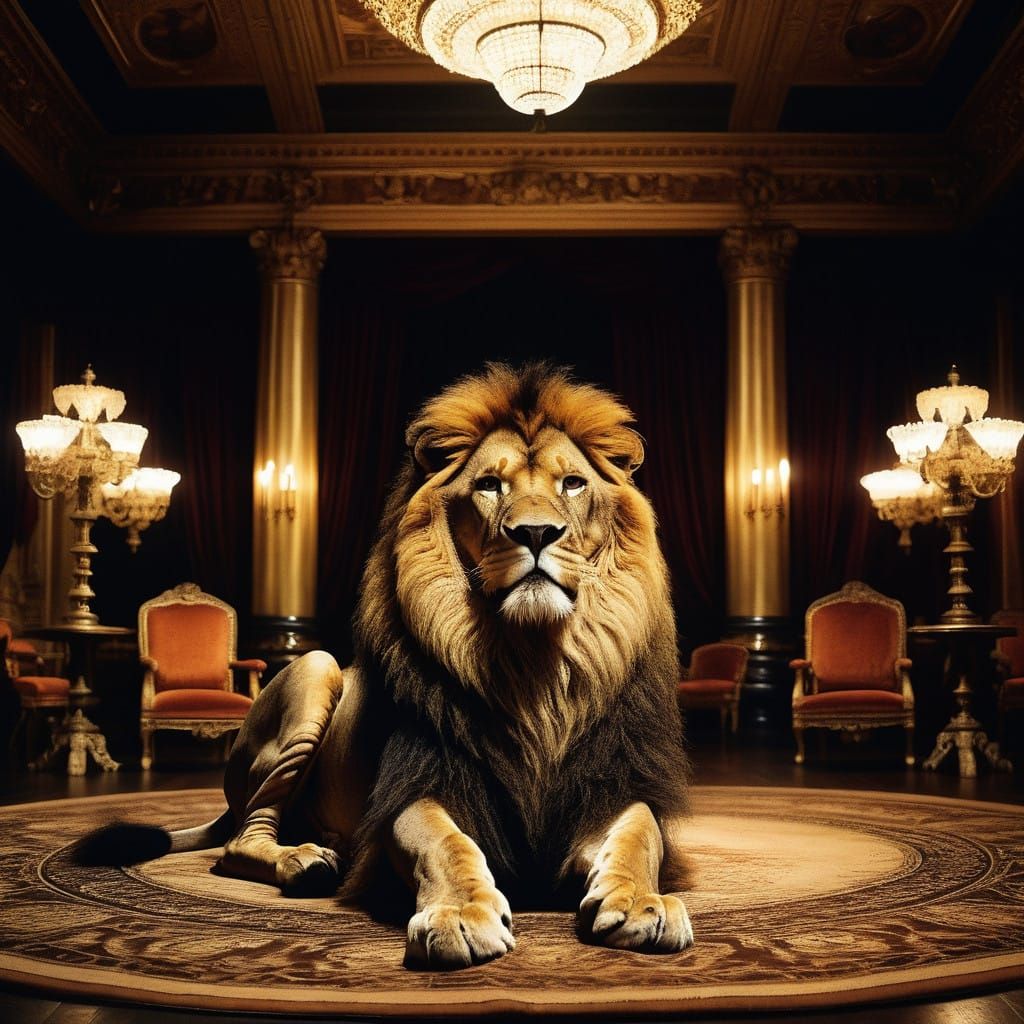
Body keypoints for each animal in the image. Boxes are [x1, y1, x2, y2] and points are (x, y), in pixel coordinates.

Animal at [148, 362, 692, 968]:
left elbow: (639, 836)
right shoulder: (420, 779)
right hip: (316, 669)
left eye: (572, 483)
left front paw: (642, 902)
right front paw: (461, 914)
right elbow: (444, 843)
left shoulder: (611, 780)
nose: (535, 533)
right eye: (489, 485)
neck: (533, 666)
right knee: (238, 841)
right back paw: (304, 861)